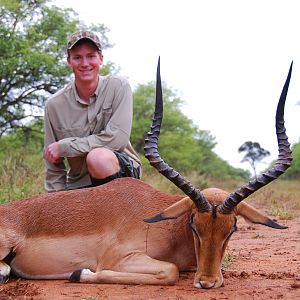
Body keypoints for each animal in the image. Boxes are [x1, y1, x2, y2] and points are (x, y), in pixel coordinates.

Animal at [0, 59, 290, 288]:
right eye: (194, 225)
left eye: (232, 229)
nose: (207, 282)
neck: (171, 229)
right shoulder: (119, 258)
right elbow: (170, 271)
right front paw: (78, 273)